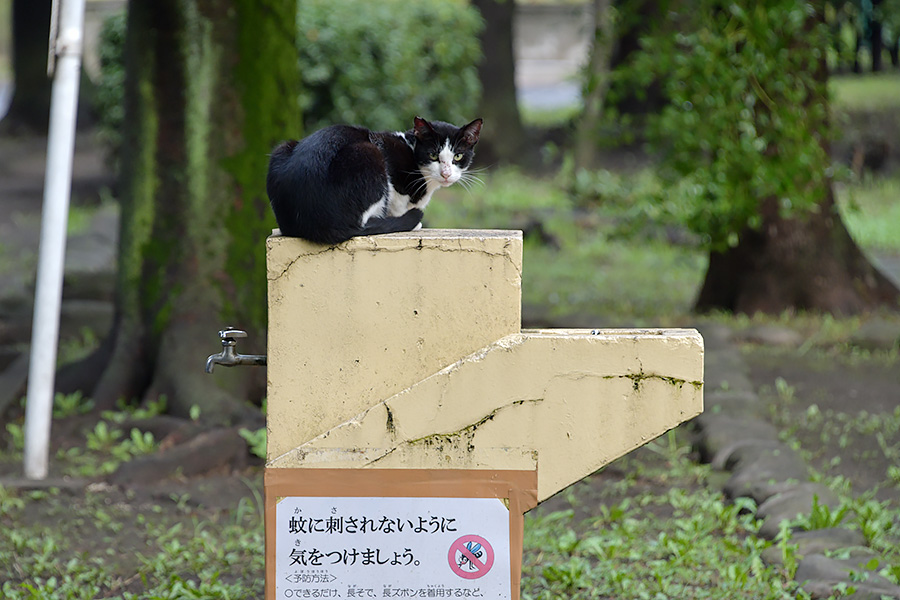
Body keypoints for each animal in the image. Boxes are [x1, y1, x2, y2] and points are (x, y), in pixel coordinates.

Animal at [266, 117, 482, 244]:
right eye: (433, 155)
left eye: (458, 157)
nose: (446, 174)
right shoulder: (393, 171)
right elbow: (397, 200)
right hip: (368, 153)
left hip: (281, 149)